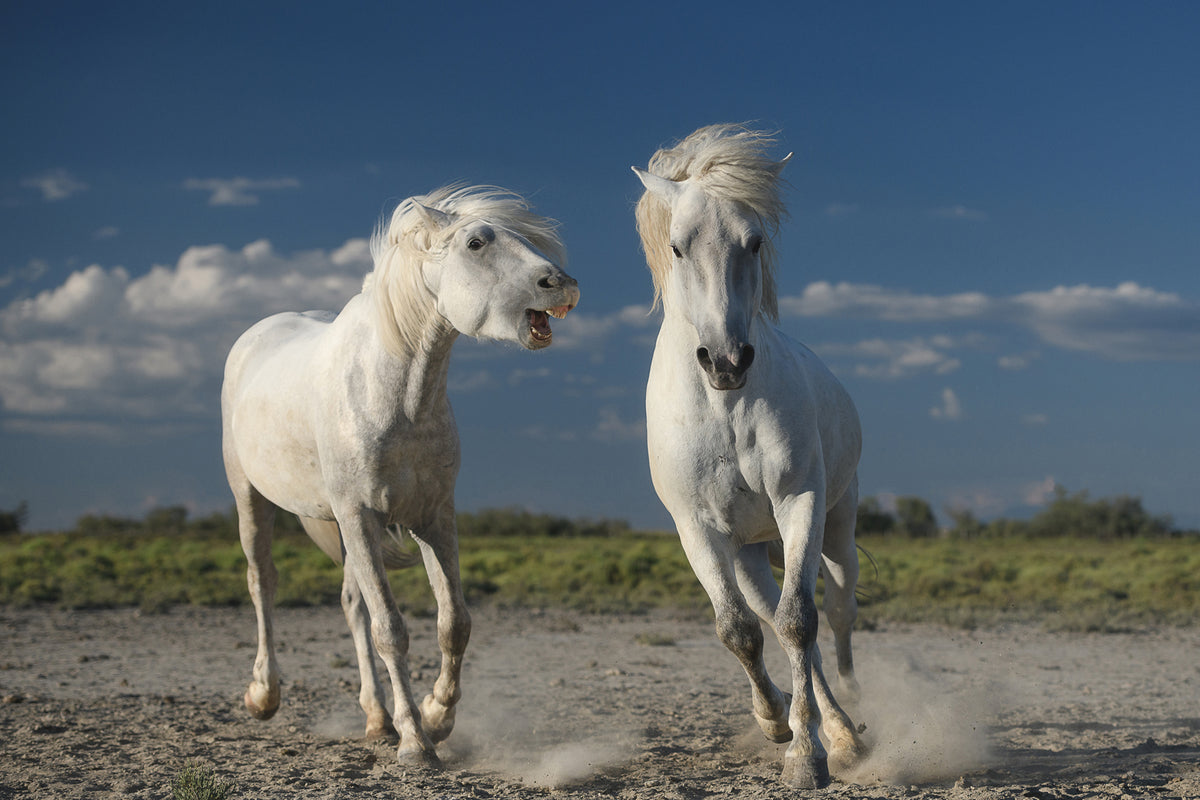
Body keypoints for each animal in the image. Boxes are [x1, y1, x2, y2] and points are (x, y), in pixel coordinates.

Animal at [225, 184, 585, 767]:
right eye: (477, 242)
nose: (563, 285)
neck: (394, 394)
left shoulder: (432, 518)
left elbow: (453, 623)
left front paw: (437, 717)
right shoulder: (360, 515)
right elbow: (391, 630)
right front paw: (417, 743)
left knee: (352, 607)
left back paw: (376, 719)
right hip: (252, 498)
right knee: (263, 582)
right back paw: (264, 695)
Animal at [633, 125, 868, 786]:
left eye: (755, 241)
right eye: (677, 246)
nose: (726, 361)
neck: (725, 409)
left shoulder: (800, 501)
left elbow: (799, 621)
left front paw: (806, 758)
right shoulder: (699, 528)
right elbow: (739, 631)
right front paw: (775, 724)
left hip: (835, 528)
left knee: (832, 616)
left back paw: (845, 730)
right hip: (749, 554)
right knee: (776, 624)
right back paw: (821, 725)